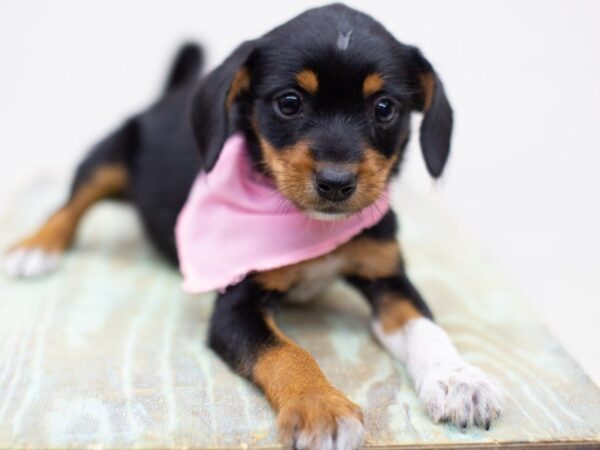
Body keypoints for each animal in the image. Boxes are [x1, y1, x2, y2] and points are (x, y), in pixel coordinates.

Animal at [4, 4, 502, 450]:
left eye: (384, 108)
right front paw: (321, 406)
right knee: (71, 204)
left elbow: (425, 326)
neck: (312, 228)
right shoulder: (235, 305)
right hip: (109, 154)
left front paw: (459, 380)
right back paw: (35, 247)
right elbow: (287, 352)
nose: (336, 183)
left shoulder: (386, 275)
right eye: (289, 102)